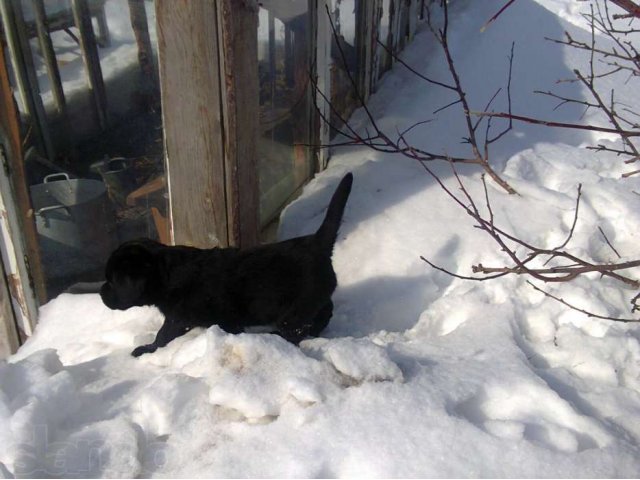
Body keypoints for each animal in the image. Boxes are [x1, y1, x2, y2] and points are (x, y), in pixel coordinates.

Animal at [100, 172, 352, 356]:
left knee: (295, 328)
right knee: (324, 311)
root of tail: (317, 242)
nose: (101, 293)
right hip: (314, 297)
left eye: (113, 281)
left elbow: (164, 334)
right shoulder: (187, 317)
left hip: (296, 307)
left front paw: (147, 349)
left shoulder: (195, 318)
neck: (167, 276)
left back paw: (277, 339)